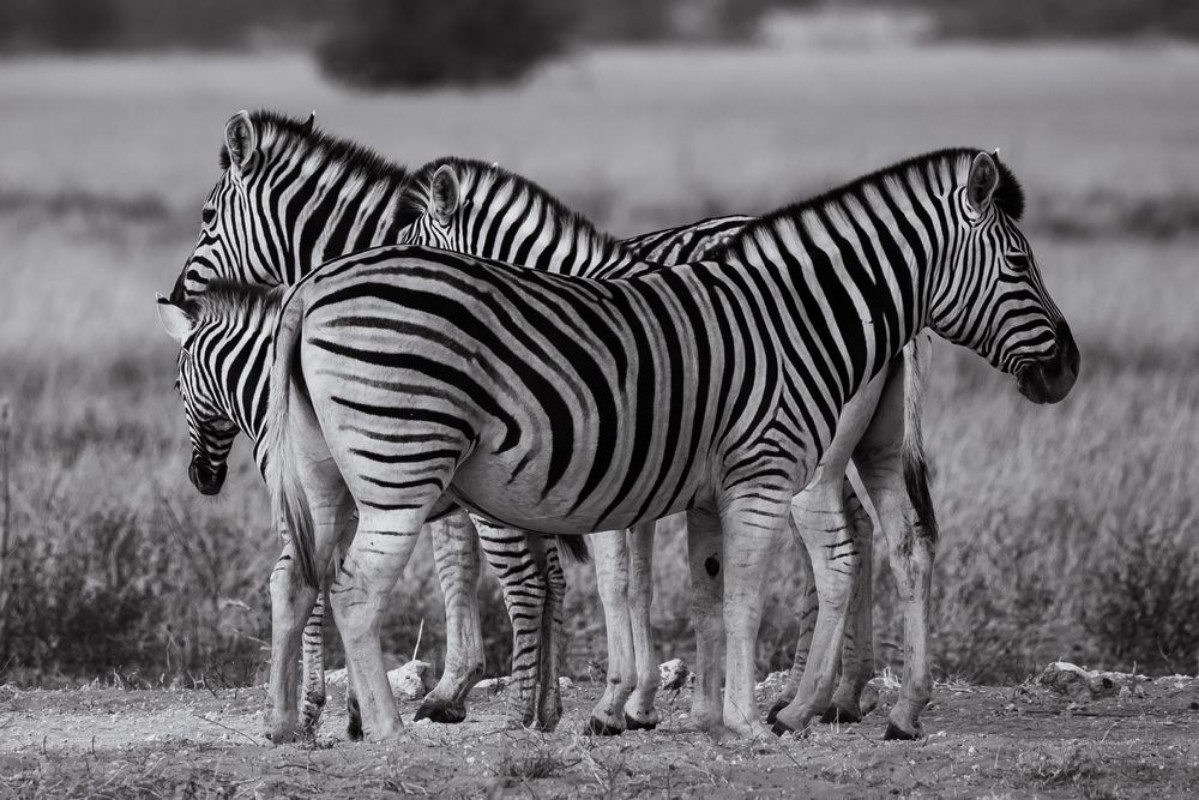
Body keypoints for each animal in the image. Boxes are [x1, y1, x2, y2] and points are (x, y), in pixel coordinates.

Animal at [260, 148, 1079, 741]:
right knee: (345, 587)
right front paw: (696, 713)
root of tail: (310, 290)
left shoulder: (677, 481)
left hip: (344, 475)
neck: (799, 312)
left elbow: (699, 594)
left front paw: (688, 712)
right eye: (1019, 264)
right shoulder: (714, 476)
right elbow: (694, 593)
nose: (1068, 368)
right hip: (395, 470)